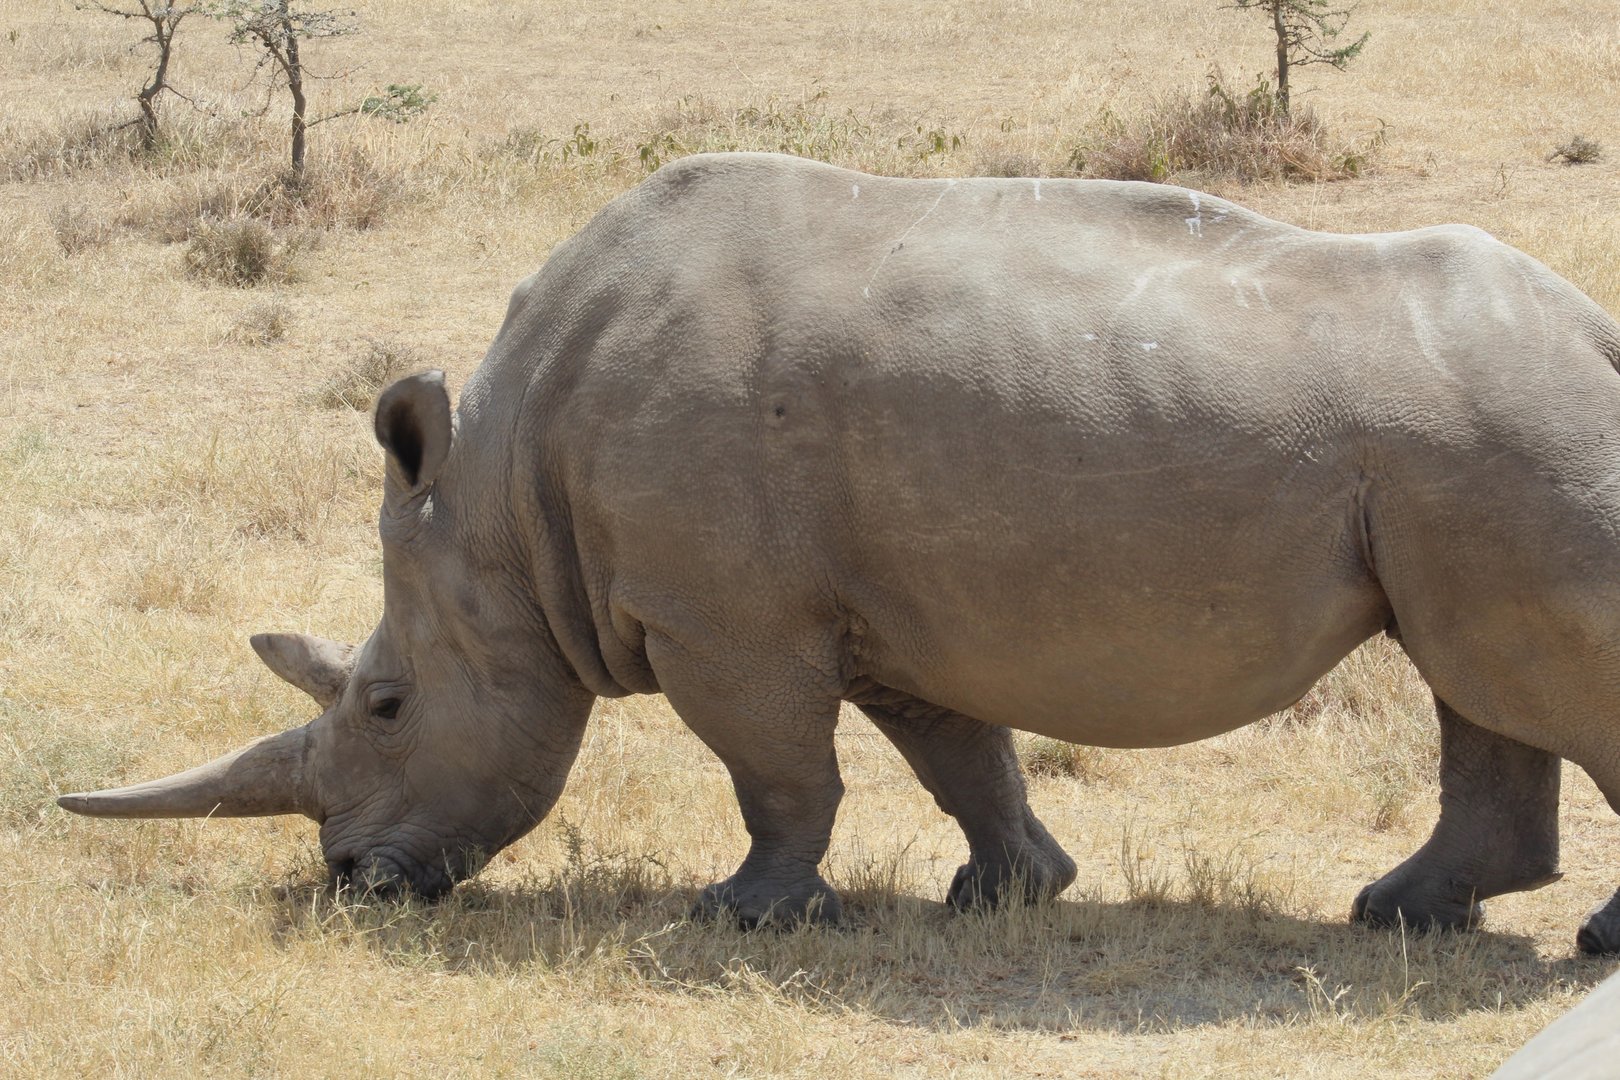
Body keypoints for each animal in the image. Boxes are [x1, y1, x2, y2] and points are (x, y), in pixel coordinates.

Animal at [59, 152, 1620, 951]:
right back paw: (1402, 920)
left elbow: (776, 771)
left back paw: (1562, 943)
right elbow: (959, 755)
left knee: (1511, 679)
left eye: (386, 704)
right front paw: (1010, 894)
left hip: (1502, 436)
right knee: (1475, 676)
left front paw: (745, 918)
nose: (355, 884)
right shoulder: (889, 606)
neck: (500, 500)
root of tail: (1596, 332)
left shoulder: (718, 617)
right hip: (1466, 452)